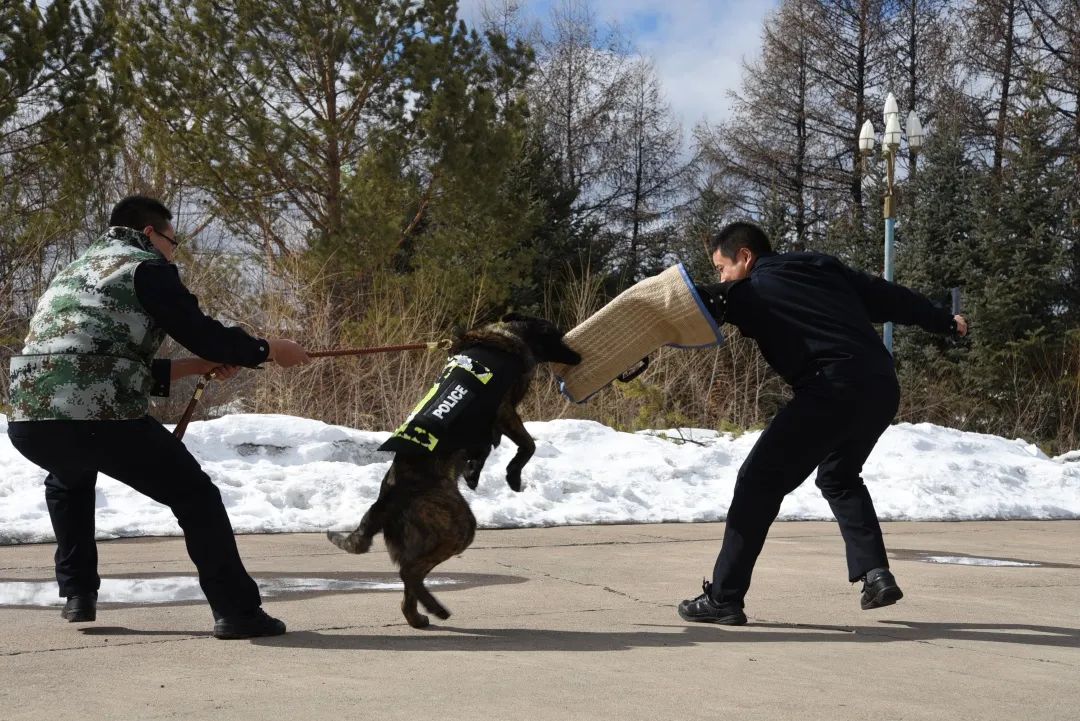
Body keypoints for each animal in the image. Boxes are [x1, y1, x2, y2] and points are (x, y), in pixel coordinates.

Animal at [328, 313, 583, 626]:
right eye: (556, 336)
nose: (579, 356)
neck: (508, 335)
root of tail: (390, 496)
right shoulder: (505, 411)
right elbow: (528, 445)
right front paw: (512, 475)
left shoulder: (489, 429)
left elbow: (484, 450)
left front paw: (474, 472)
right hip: (458, 528)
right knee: (408, 572)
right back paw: (435, 609)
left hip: (417, 540)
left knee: (408, 578)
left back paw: (417, 616)